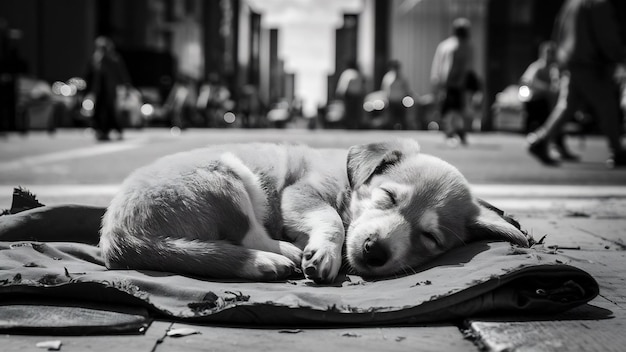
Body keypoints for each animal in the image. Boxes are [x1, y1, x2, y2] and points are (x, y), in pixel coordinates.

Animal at [100, 139, 528, 284]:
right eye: (388, 197)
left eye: (430, 237)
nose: (374, 251)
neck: (348, 184)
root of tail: (119, 237)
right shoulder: (300, 194)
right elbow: (332, 220)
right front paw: (324, 252)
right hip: (229, 176)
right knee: (248, 235)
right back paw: (276, 257)